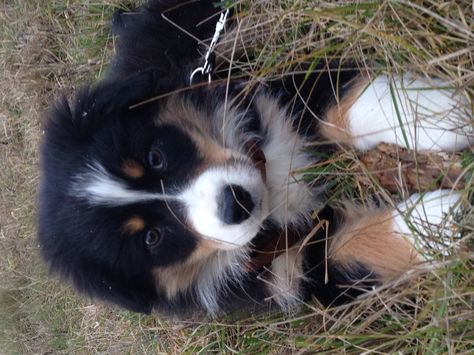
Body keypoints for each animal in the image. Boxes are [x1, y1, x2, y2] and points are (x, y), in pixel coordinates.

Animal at [37, 0, 470, 318]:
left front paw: (435, 113)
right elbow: (355, 248)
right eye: (152, 239)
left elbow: (350, 104)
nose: (236, 203)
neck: (268, 178)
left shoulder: (268, 89)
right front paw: (439, 224)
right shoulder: (286, 272)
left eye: (155, 156)